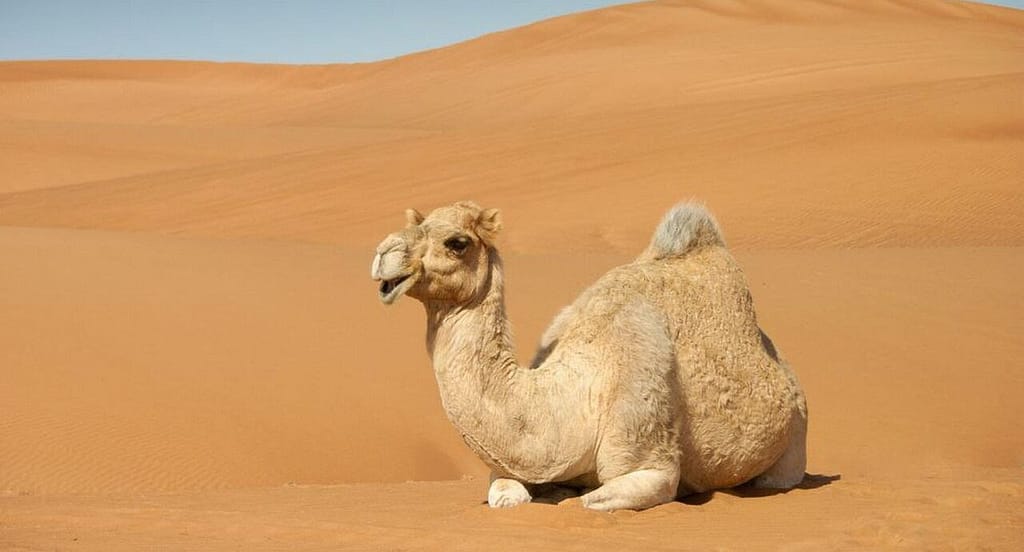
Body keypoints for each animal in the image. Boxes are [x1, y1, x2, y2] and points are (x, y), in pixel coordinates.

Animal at [371, 201, 807, 511]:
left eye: (457, 242)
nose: (382, 253)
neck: (574, 399)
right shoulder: (512, 465)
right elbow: (505, 494)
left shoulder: (648, 463)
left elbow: (591, 501)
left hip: (795, 437)